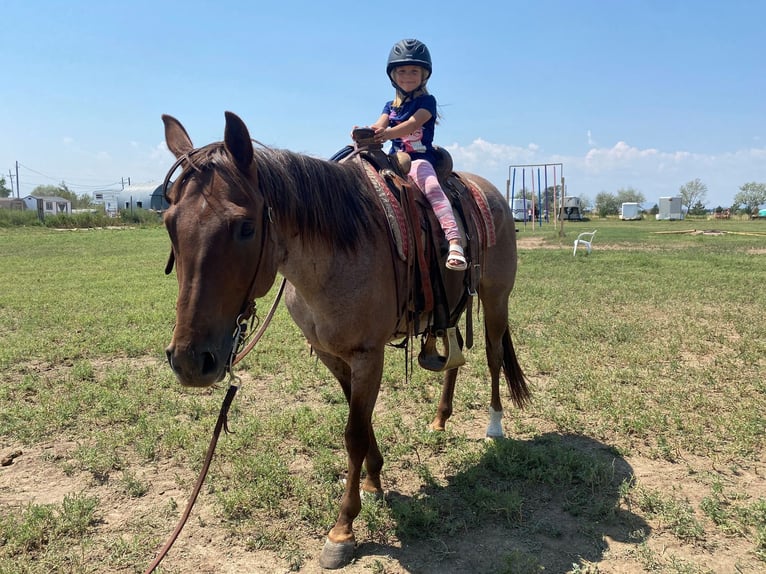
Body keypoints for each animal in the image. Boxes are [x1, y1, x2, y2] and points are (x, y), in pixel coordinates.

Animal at [162, 112, 532, 572]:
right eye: (169, 223)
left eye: (245, 227)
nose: (190, 361)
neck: (335, 253)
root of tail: (491, 191)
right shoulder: (332, 355)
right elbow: (363, 422)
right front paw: (374, 481)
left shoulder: (367, 355)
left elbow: (354, 432)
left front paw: (342, 529)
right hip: (449, 310)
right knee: (455, 358)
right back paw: (440, 419)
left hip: (496, 296)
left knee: (494, 355)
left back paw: (494, 424)